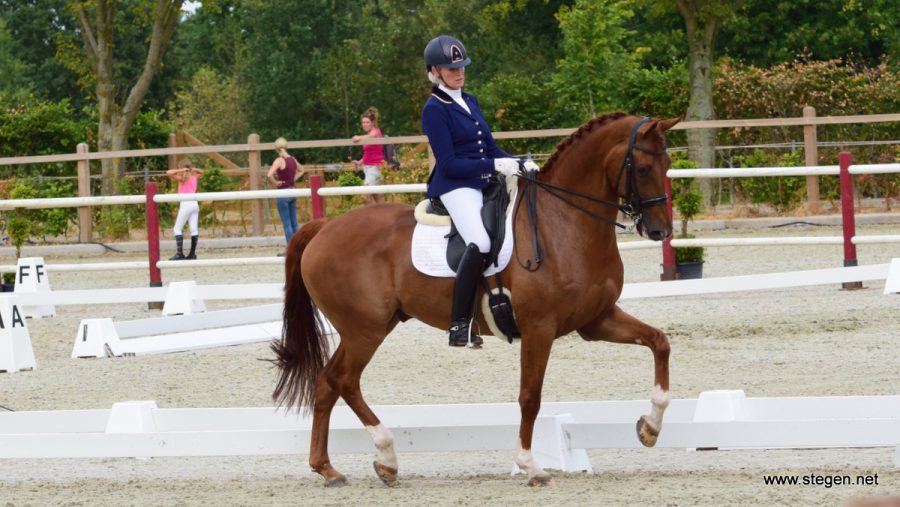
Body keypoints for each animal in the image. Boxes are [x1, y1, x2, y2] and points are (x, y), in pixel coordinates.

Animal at [270, 113, 680, 486]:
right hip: (364, 330)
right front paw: (531, 466)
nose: (661, 230)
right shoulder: (539, 328)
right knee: (344, 381)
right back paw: (386, 457)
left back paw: (328, 469)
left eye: (667, 165)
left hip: (371, 326)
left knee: (326, 383)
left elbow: (660, 342)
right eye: (644, 167)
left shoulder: (597, 320)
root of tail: (325, 227)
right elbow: (530, 396)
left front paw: (650, 428)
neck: (564, 223)